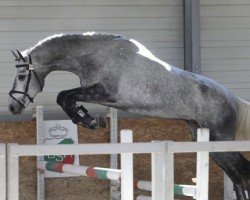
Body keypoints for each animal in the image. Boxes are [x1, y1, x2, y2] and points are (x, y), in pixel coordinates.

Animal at [7, 32, 250, 198]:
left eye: (21, 75)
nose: (12, 107)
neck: (93, 55)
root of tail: (233, 99)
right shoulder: (100, 95)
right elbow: (65, 98)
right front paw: (87, 117)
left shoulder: (105, 93)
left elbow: (64, 96)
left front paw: (88, 119)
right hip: (205, 139)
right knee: (239, 176)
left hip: (220, 141)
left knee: (241, 174)